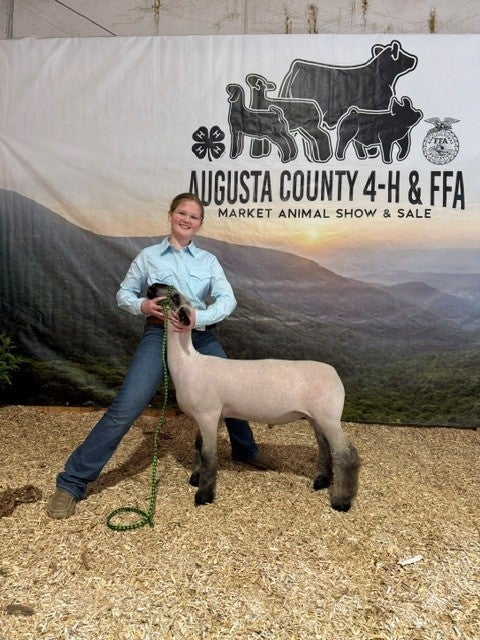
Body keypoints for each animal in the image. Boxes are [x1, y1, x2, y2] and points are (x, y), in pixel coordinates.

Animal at [147, 284, 360, 512]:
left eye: (175, 296)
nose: (151, 287)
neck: (188, 363)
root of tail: (334, 373)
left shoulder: (208, 414)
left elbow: (208, 455)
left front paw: (203, 495)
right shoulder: (203, 415)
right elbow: (198, 446)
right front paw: (196, 479)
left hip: (329, 417)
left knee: (345, 455)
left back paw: (341, 501)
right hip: (316, 417)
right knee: (326, 448)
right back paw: (322, 481)